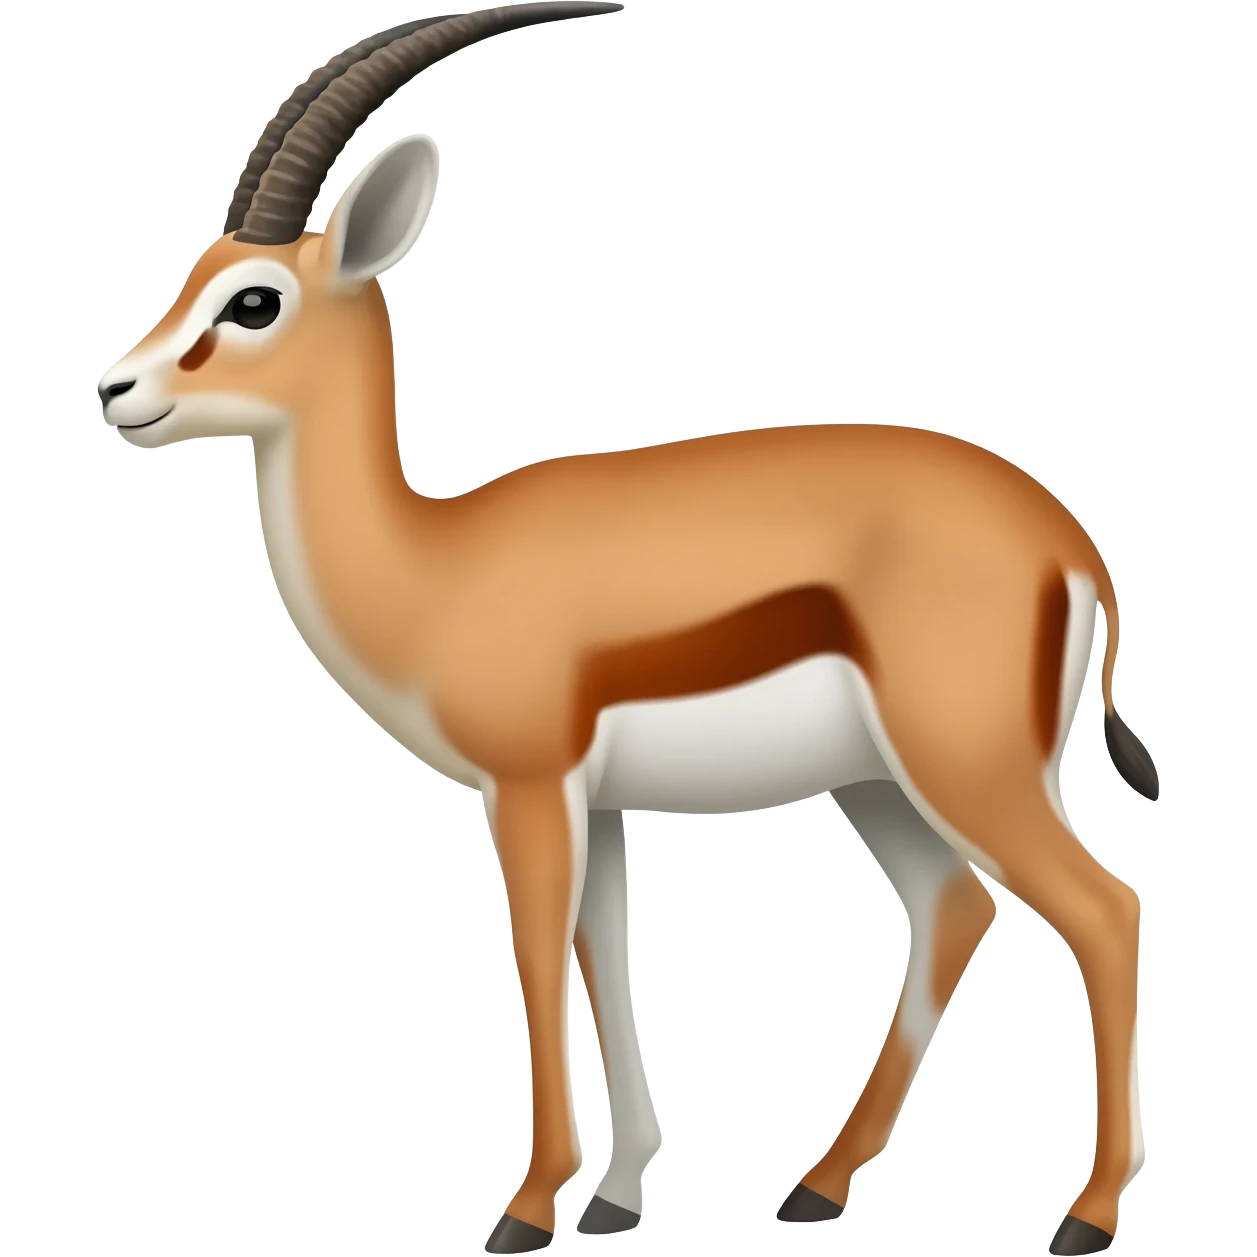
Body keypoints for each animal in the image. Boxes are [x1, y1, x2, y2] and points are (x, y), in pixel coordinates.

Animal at [96, 5, 1155, 1255]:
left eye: (254, 299)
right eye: (197, 274)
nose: (116, 391)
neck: (435, 567)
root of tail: (1067, 537)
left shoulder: (526, 787)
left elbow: (539, 956)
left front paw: (528, 1208)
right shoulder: (597, 805)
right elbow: (605, 953)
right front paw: (612, 1198)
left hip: (970, 765)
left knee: (1107, 911)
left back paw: (1086, 1215)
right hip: (878, 781)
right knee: (956, 908)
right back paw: (817, 1186)